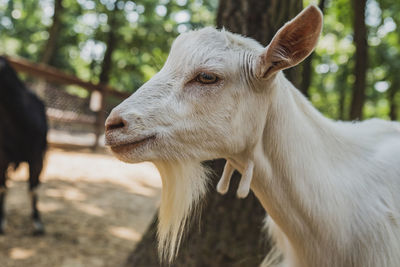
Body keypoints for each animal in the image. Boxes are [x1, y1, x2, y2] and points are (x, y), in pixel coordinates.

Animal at [0, 57, 47, 234]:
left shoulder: (37, 159)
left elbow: (33, 189)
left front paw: (37, 222)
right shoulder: (3, 157)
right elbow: (3, 188)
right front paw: (2, 222)